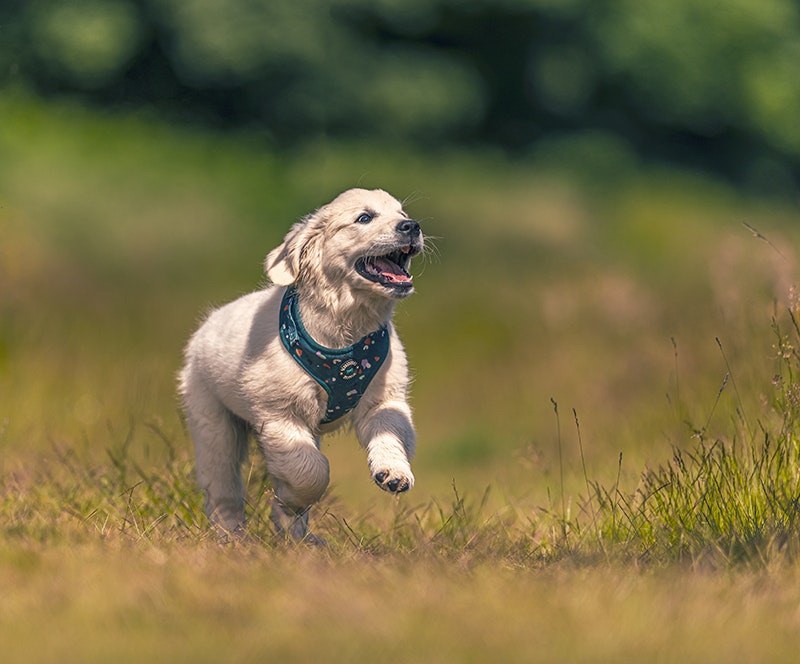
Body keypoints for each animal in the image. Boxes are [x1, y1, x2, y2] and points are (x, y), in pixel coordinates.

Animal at [177, 189, 422, 544]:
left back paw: (301, 540)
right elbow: (311, 470)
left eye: (402, 213)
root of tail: (206, 324)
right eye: (364, 218)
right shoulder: (280, 415)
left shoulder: (385, 399)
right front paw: (290, 500)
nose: (412, 226)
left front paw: (393, 472)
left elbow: (390, 434)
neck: (344, 333)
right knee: (222, 485)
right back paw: (231, 536)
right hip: (212, 421)